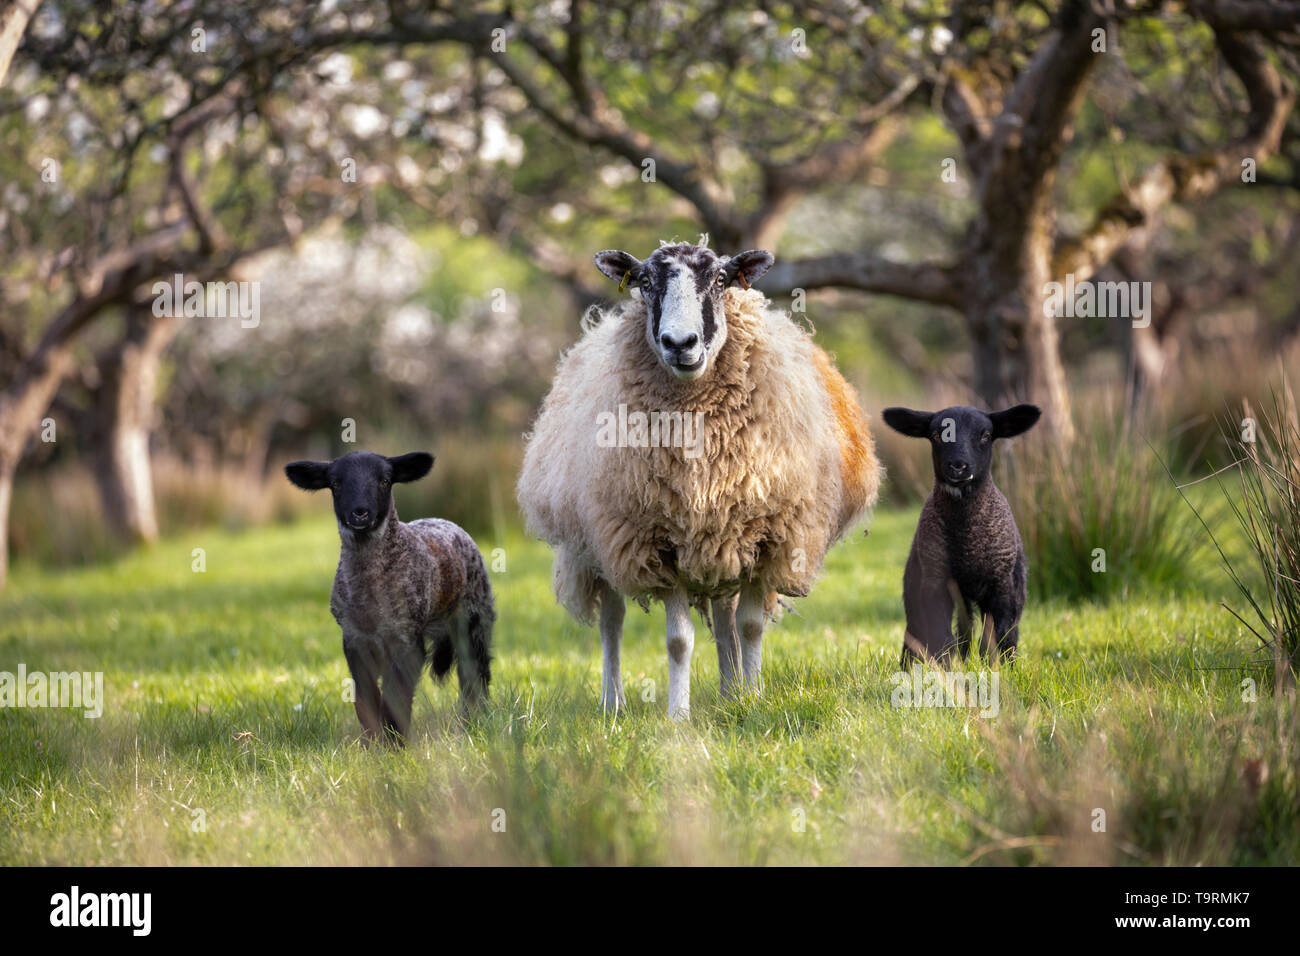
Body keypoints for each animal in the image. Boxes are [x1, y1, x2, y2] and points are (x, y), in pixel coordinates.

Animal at [284, 450, 494, 743]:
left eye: (384, 480)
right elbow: (366, 698)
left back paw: (473, 721)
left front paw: (395, 743)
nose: (360, 512)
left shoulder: (406, 639)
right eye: (335, 483)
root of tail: (448, 522)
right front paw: (373, 743)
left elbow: (396, 696)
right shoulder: (355, 640)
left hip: (474, 617)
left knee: (475, 674)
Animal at [517, 241, 881, 719]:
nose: (680, 343)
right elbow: (678, 641)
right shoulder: (657, 542)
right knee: (612, 620)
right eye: (644, 281)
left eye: (721, 280)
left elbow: (748, 628)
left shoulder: (766, 537)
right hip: (598, 544)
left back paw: (731, 693)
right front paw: (678, 717)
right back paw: (613, 703)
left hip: (721, 539)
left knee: (725, 622)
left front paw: (752, 701)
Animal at [880, 404, 1041, 666]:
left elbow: (998, 633)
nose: (958, 465)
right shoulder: (935, 583)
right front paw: (946, 667)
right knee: (923, 629)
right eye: (936, 435)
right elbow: (940, 634)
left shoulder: (1001, 585)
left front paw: (996, 668)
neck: (968, 541)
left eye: (986, 435)